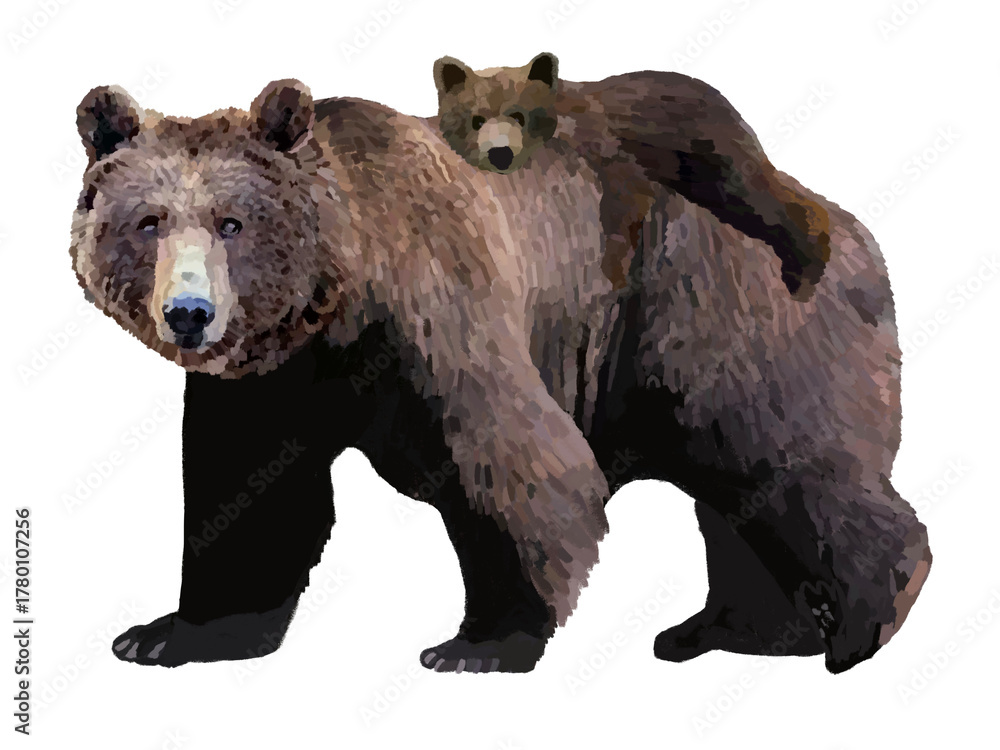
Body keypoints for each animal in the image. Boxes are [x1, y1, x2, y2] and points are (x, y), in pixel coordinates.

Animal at [433, 52, 832, 299]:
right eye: (475, 118)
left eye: (520, 114)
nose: (499, 153)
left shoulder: (607, 144)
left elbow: (626, 197)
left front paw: (613, 276)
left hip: (713, 153)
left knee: (760, 198)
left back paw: (808, 267)